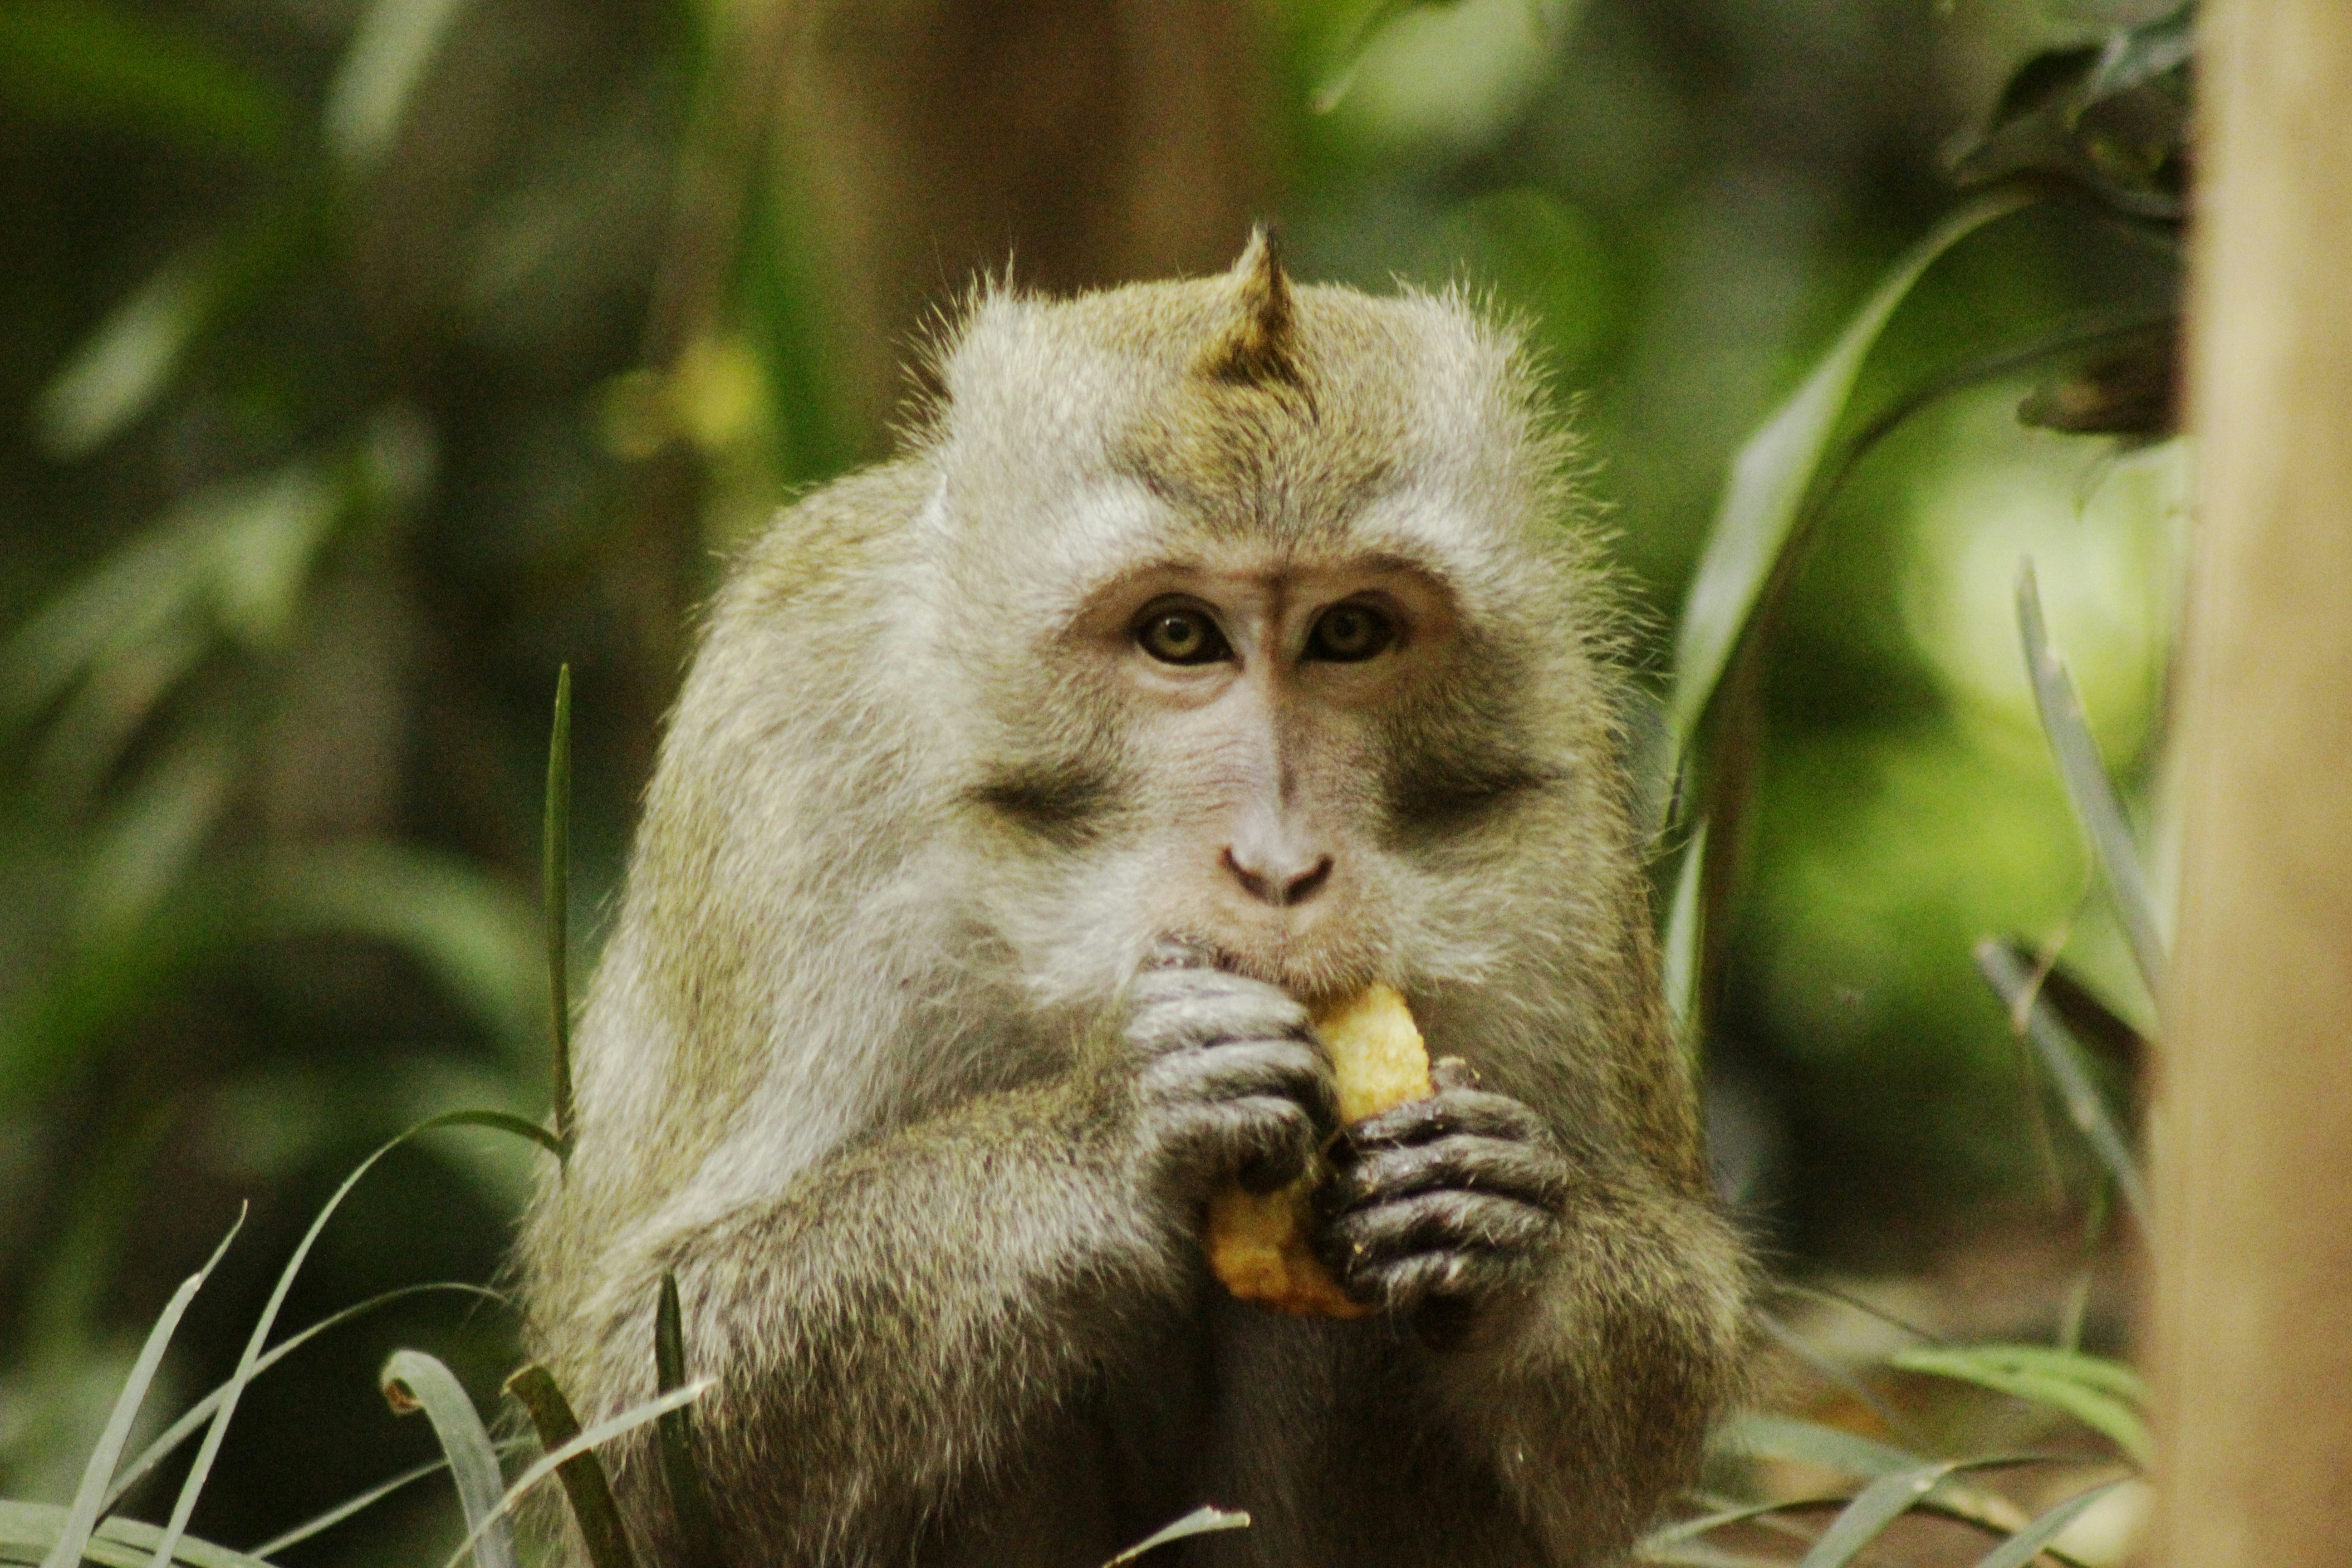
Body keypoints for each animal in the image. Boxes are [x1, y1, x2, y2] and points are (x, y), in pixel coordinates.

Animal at [516, 232, 1749, 1568]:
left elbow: (1663, 1384)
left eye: (1350, 632)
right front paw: (1114, 1128)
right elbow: (632, 1419)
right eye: (1178, 635)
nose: (1279, 865)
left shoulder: (1558, 797)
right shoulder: (786, 748)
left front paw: (1509, 1224)